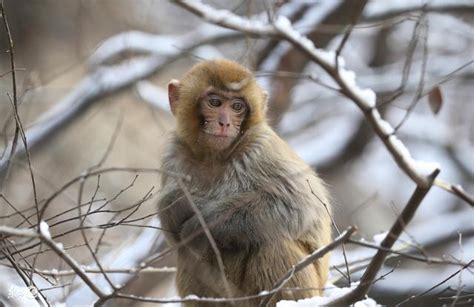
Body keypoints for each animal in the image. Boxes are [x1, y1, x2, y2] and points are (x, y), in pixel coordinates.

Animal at [157, 59, 332, 306]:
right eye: (215, 102)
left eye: (237, 107)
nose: (224, 122)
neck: (214, 157)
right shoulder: (174, 156)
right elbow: (173, 232)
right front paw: (177, 203)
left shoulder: (260, 147)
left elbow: (299, 205)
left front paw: (201, 224)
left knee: (271, 238)